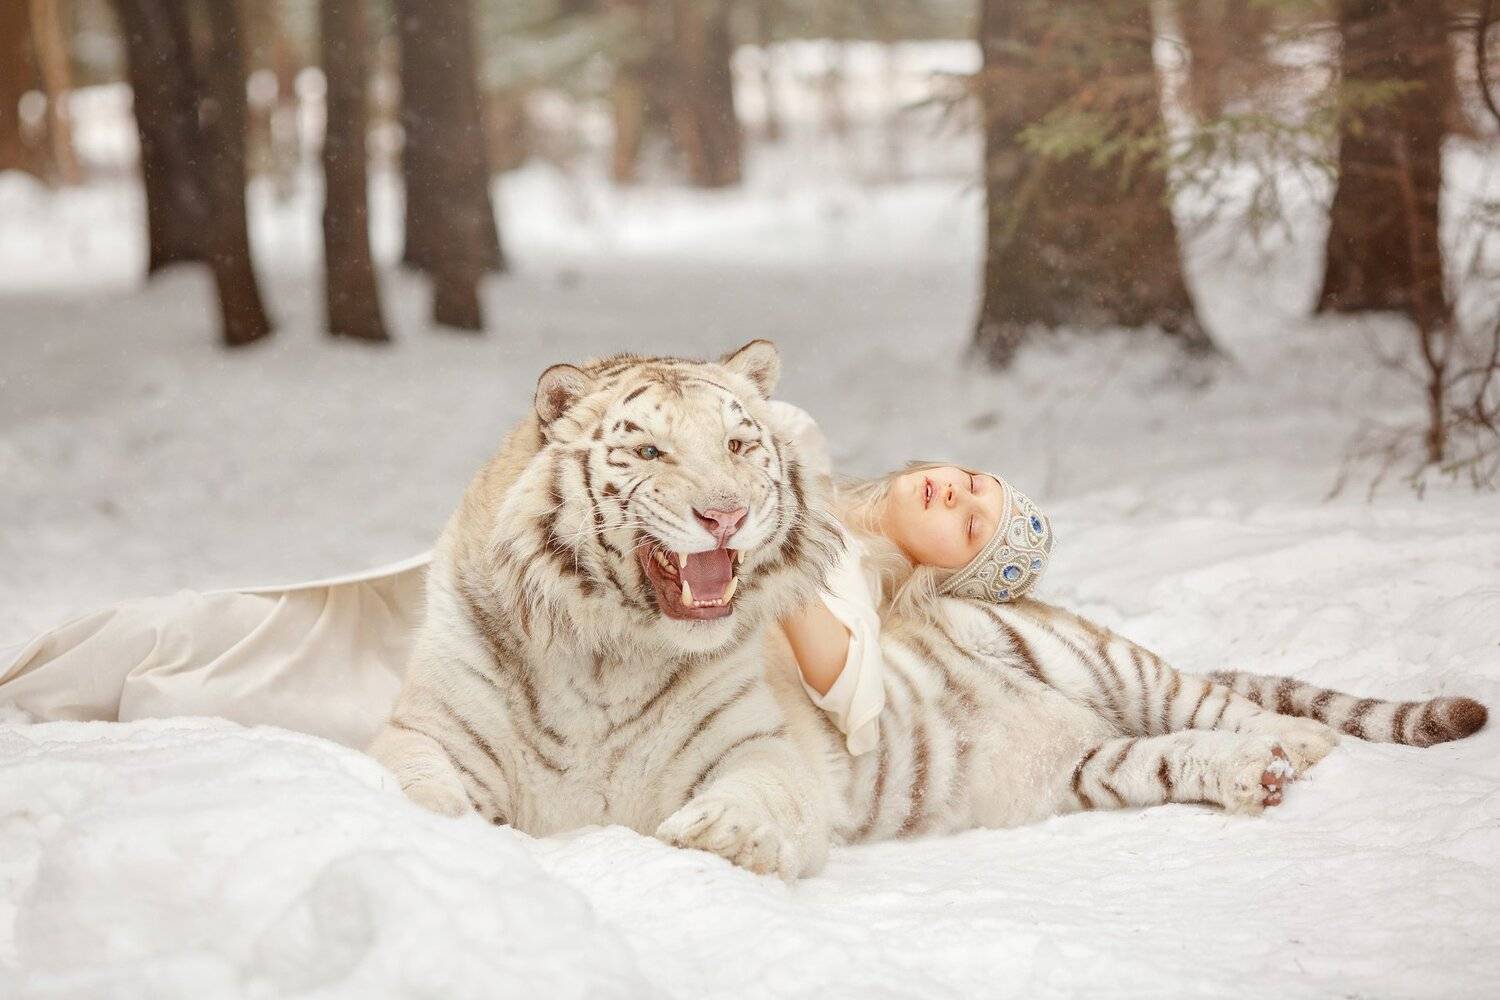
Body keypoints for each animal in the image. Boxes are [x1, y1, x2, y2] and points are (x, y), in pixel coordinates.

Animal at [368, 340, 1488, 880]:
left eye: (738, 443)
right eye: (647, 450)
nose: (726, 514)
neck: (606, 651)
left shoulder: (753, 743)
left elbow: (759, 794)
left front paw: (721, 838)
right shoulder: (427, 730)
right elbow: (413, 785)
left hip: (1102, 661)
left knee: (1248, 710)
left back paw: (1287, 749)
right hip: (1091, 765)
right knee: (1168, 753)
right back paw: (1249, 776)